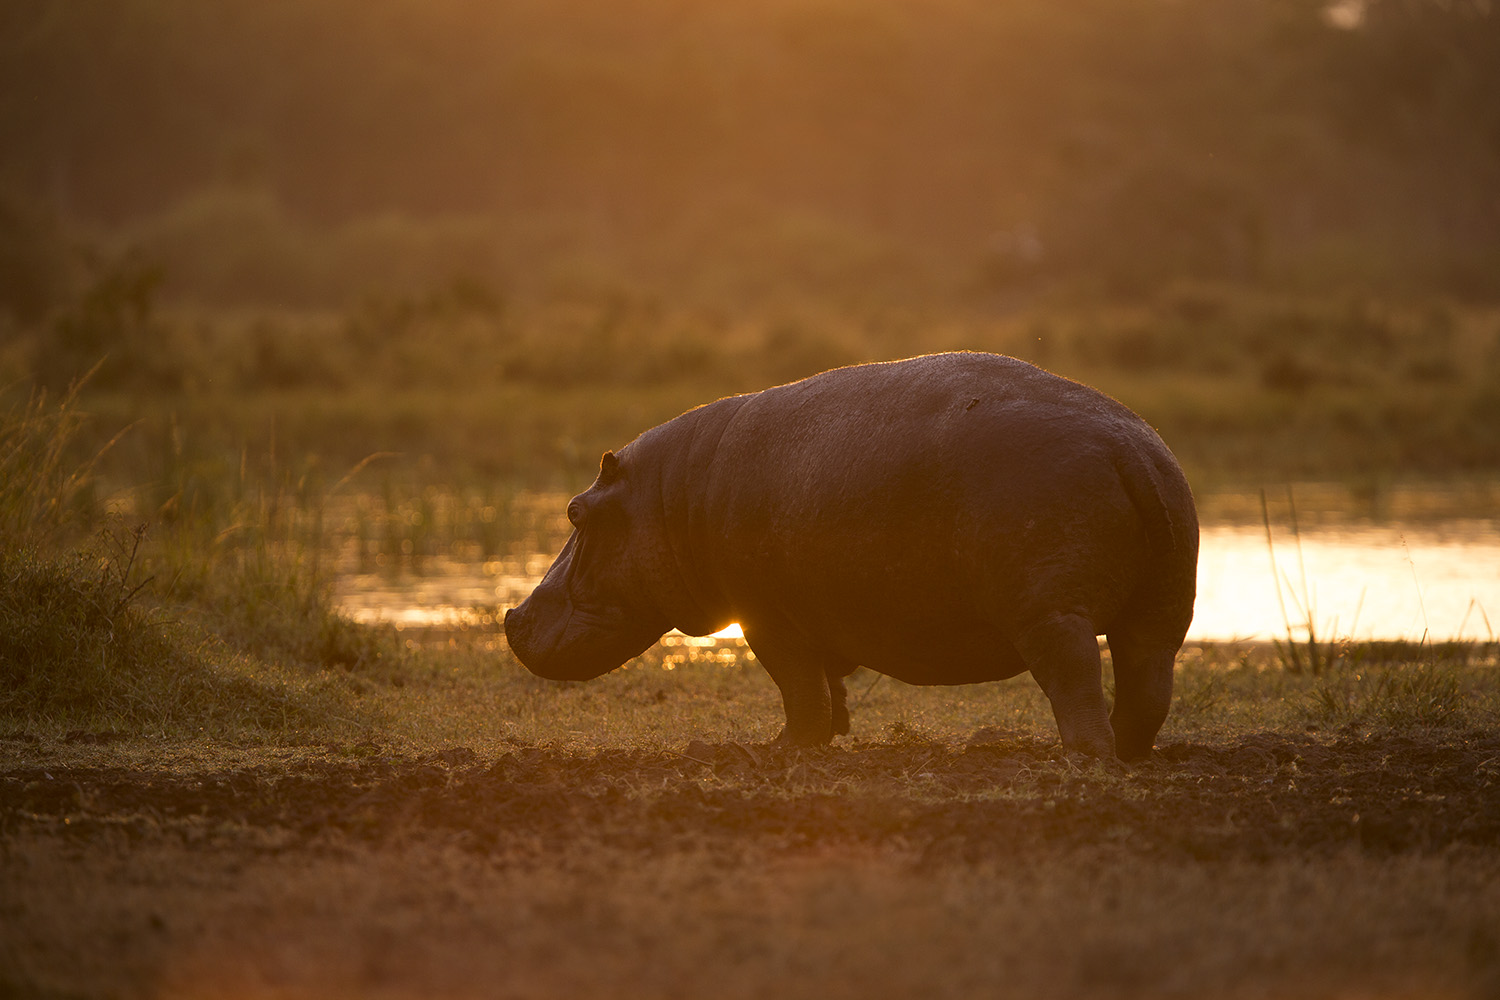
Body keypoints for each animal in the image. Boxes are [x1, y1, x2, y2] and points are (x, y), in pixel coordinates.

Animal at [510, 352, 1200, 758]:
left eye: (575, 512)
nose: (512, 618)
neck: (668, 496)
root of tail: (1130, 448)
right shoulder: (816, 610)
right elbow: (828, 682)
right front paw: (826, 738)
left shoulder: (766, 618)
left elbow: (796, 684)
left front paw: (784, 751)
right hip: (1163, 607)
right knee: (1147, 680)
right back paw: (1130, 753)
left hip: (1050, 613)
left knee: (1074, 676)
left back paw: (1084, 760)